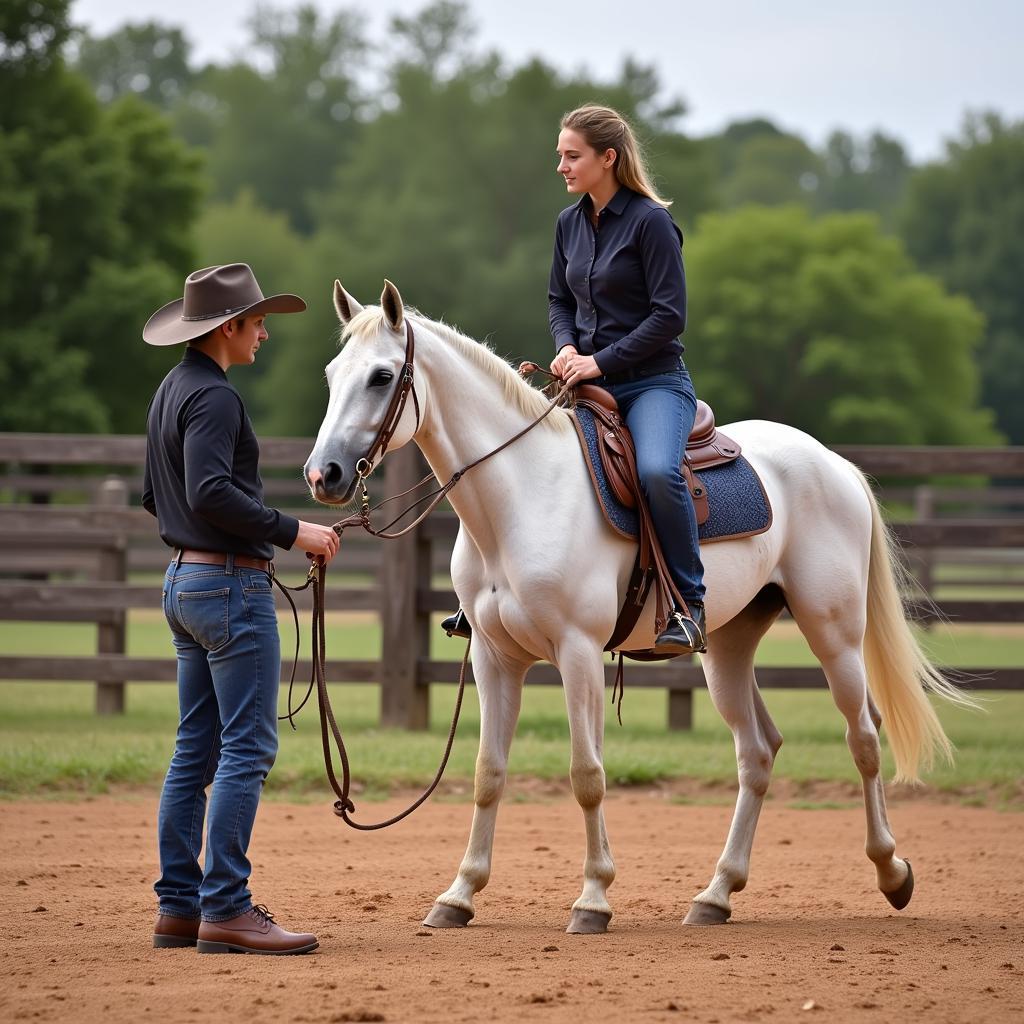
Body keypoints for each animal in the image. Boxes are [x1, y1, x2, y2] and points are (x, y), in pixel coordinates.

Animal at [301, 280, 966, 937]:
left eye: (382, 376)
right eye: (332, 373)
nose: (322, 474)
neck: (522, 496)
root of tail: (835, 463)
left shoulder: (577, 654)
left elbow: (587, 775)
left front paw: (592, 900)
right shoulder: (495, 659)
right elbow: (489, 773)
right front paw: (459, 895)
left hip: (834, 633)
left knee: (864, 738)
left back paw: (891, 872)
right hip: (727, 648)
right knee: (757, 751)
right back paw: (716, 894)